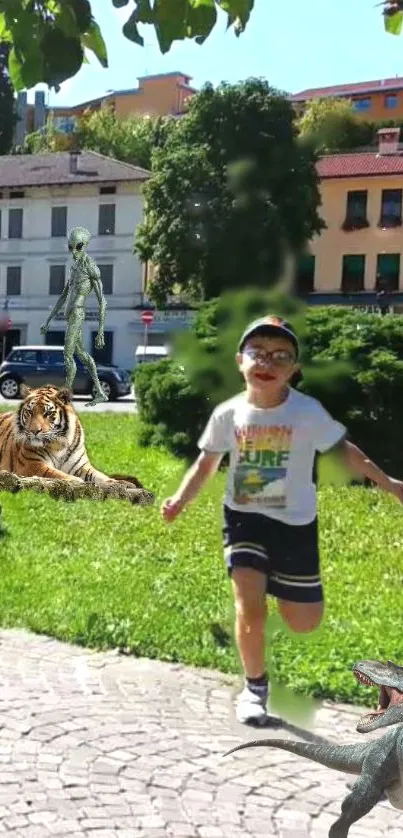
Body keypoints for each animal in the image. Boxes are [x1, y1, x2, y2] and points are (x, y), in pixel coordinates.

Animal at [0, 382, 144, 492]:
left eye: (48, 413)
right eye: (30, 412)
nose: (34, 431)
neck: (58, 445)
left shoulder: (81, 466)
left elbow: (99, 475)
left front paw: (120, 483)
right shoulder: (31, 463)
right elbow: (55, 473)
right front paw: (77, 482)